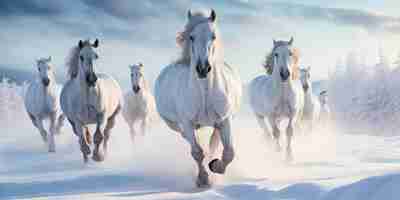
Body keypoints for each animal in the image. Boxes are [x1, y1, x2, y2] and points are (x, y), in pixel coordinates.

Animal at [154, 9, 241, 188]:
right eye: (192, 37)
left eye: (213, 36)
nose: (202, 68)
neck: (205, 93)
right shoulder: (187, 123)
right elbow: (197, 153)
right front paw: (203, 179)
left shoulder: (225, 120)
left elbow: (229, 152)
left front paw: (214, 166)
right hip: (174, 124)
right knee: (187, 137)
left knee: (214, 141)